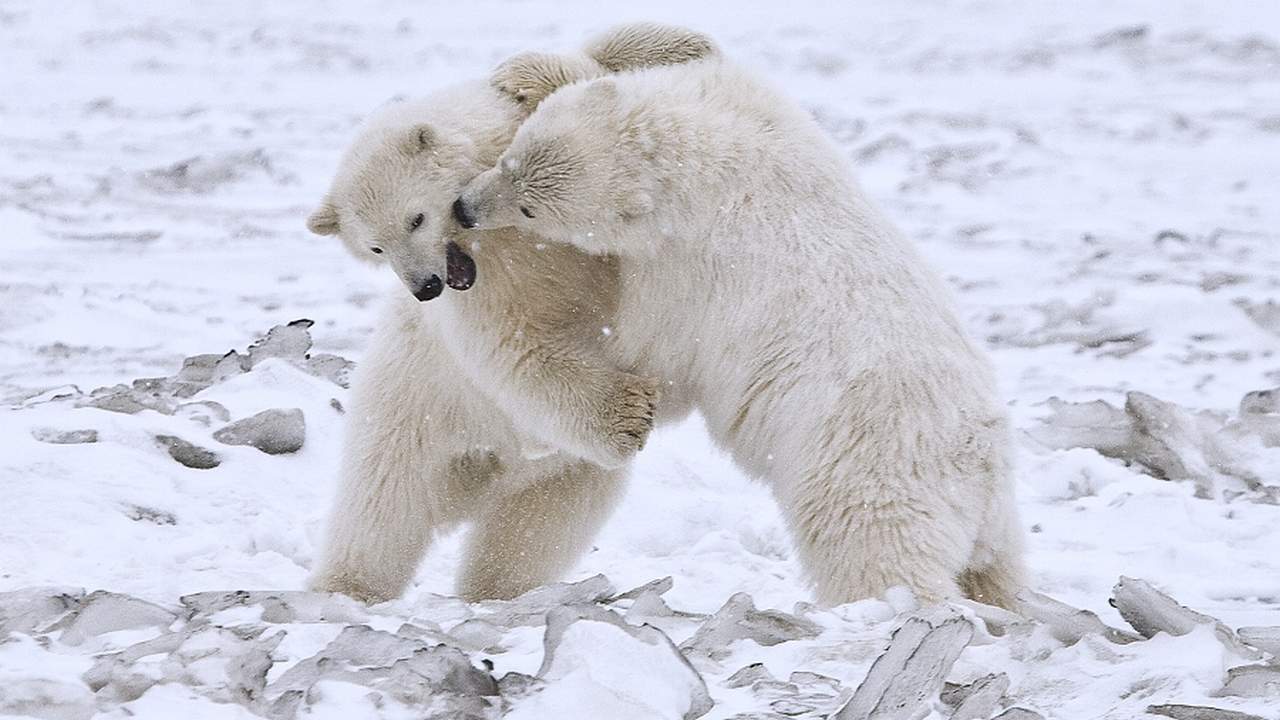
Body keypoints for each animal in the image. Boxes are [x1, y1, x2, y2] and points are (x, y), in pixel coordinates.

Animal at [304, 24, 718, 602]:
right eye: (374, 247)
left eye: (415, 218)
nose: (425, 287)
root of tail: (479, 478)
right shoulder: (486, 289)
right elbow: (515, 345)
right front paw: (629, 413)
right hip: (409, 417)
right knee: (380, 510)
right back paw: (347, 587)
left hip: (560, 475)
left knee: (529, 534)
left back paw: (495, 589)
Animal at [454, 57, 1027, 608]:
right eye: (509, 160)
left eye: (529, 208)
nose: (464, 208)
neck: (708, 159)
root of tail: (980, 457)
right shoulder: (766, 111)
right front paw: (530, 74)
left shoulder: (690, 267)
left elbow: (651, 345)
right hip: (993, 516)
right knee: (996, 569)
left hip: (867, 460)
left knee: (871, 545)